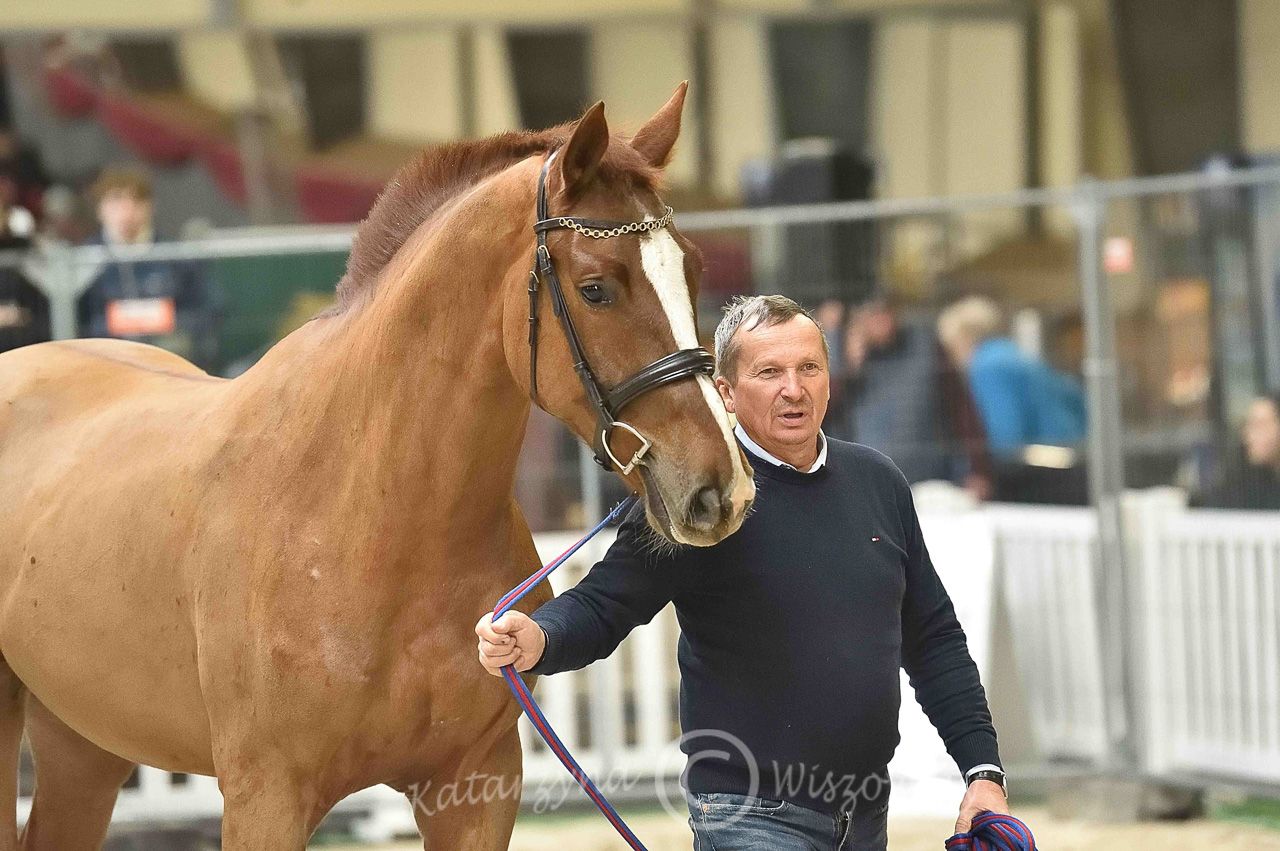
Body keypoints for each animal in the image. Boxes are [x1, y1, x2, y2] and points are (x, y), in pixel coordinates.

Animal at [0, 83, 755, 849]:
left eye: (693, 269)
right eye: (596, 287)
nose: (719, 489)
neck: (368, 514)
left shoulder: (474, 787)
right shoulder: (266, 796)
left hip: (86, 743)